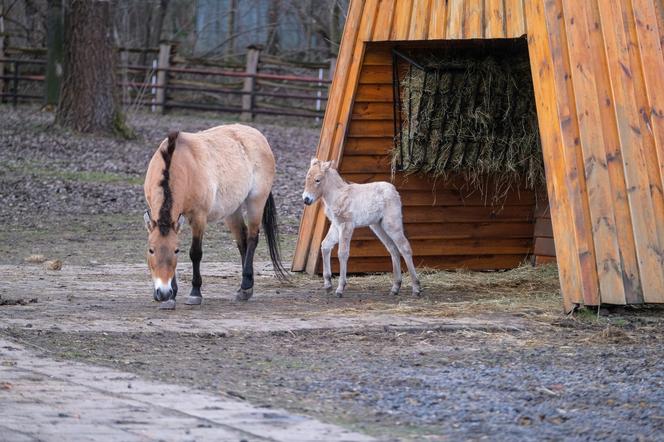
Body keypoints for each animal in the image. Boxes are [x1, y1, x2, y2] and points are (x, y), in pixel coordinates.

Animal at [144, 124, 286, 310]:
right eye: (151, 250)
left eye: (176, 250)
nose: (163, 292)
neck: (179, 163)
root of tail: (259, 136)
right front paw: (171, 298)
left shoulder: (198, 217)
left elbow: (195, 253)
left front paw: (195, 293)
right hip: (232, 210)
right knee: (242, 241)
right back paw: (245, 289)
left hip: (256, 201)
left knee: (252, 239)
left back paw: (246, 287)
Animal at [302, 158, 420, 296]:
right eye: (307, 178)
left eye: (317, 180)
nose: (306, 199)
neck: (338, 195)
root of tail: (394, 190)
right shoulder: (336, 225)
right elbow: (325, 245)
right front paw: (328, 284)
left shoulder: (346, 225)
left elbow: (342, 253)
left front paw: (340, 288)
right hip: (378, 226)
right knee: (393, 249)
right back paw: (395, 287)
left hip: (391, 224)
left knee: (404, 247)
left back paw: (416, 288)